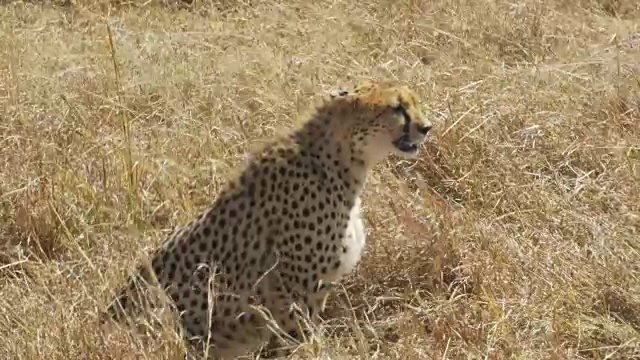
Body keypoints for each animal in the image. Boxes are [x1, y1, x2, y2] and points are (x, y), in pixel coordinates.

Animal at [100, 80, 432, 358]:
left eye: (415, 102)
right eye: (397, 108)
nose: (427, 127)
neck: (338, 162)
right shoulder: (293, 296)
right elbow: (301, 344)